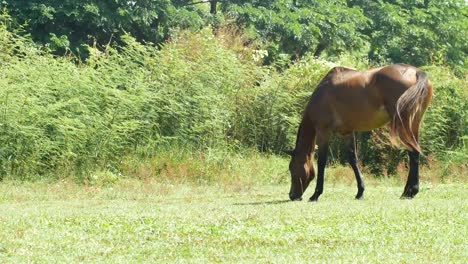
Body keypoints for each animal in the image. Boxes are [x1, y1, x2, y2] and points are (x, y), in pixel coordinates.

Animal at [288, 64, 434, 202]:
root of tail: (416, 72)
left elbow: (322, 162)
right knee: (415, 152)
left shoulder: (323, 131)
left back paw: (409, 192)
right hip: (414, 124)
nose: (292, 195)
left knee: (413, 152)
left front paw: (316, 194)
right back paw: (409, 191)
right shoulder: (347, 132)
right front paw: (360, 192)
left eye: (291, 168)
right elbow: (353, 159)